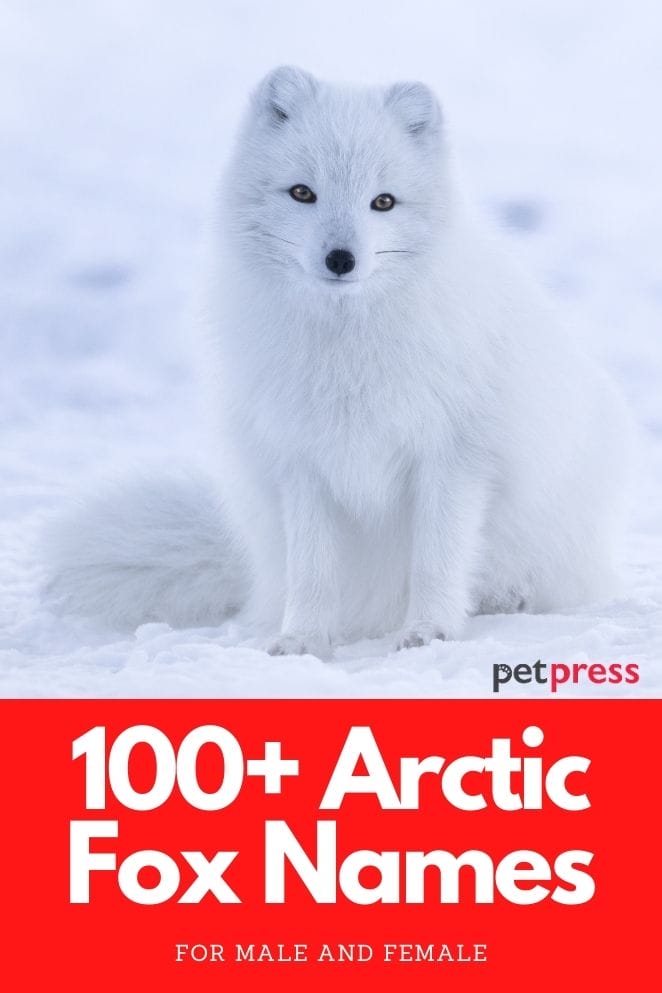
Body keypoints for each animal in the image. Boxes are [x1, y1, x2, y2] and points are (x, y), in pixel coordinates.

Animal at [44, 66, 631, 658]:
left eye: (384, 202)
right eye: (303, 192)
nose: (341, 259)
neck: (347, 349)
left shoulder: (454, 457)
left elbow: (437, 559)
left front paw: (429, 631)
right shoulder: (301, 461)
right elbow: (312, 570)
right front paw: (302, 640)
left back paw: (507, 598)